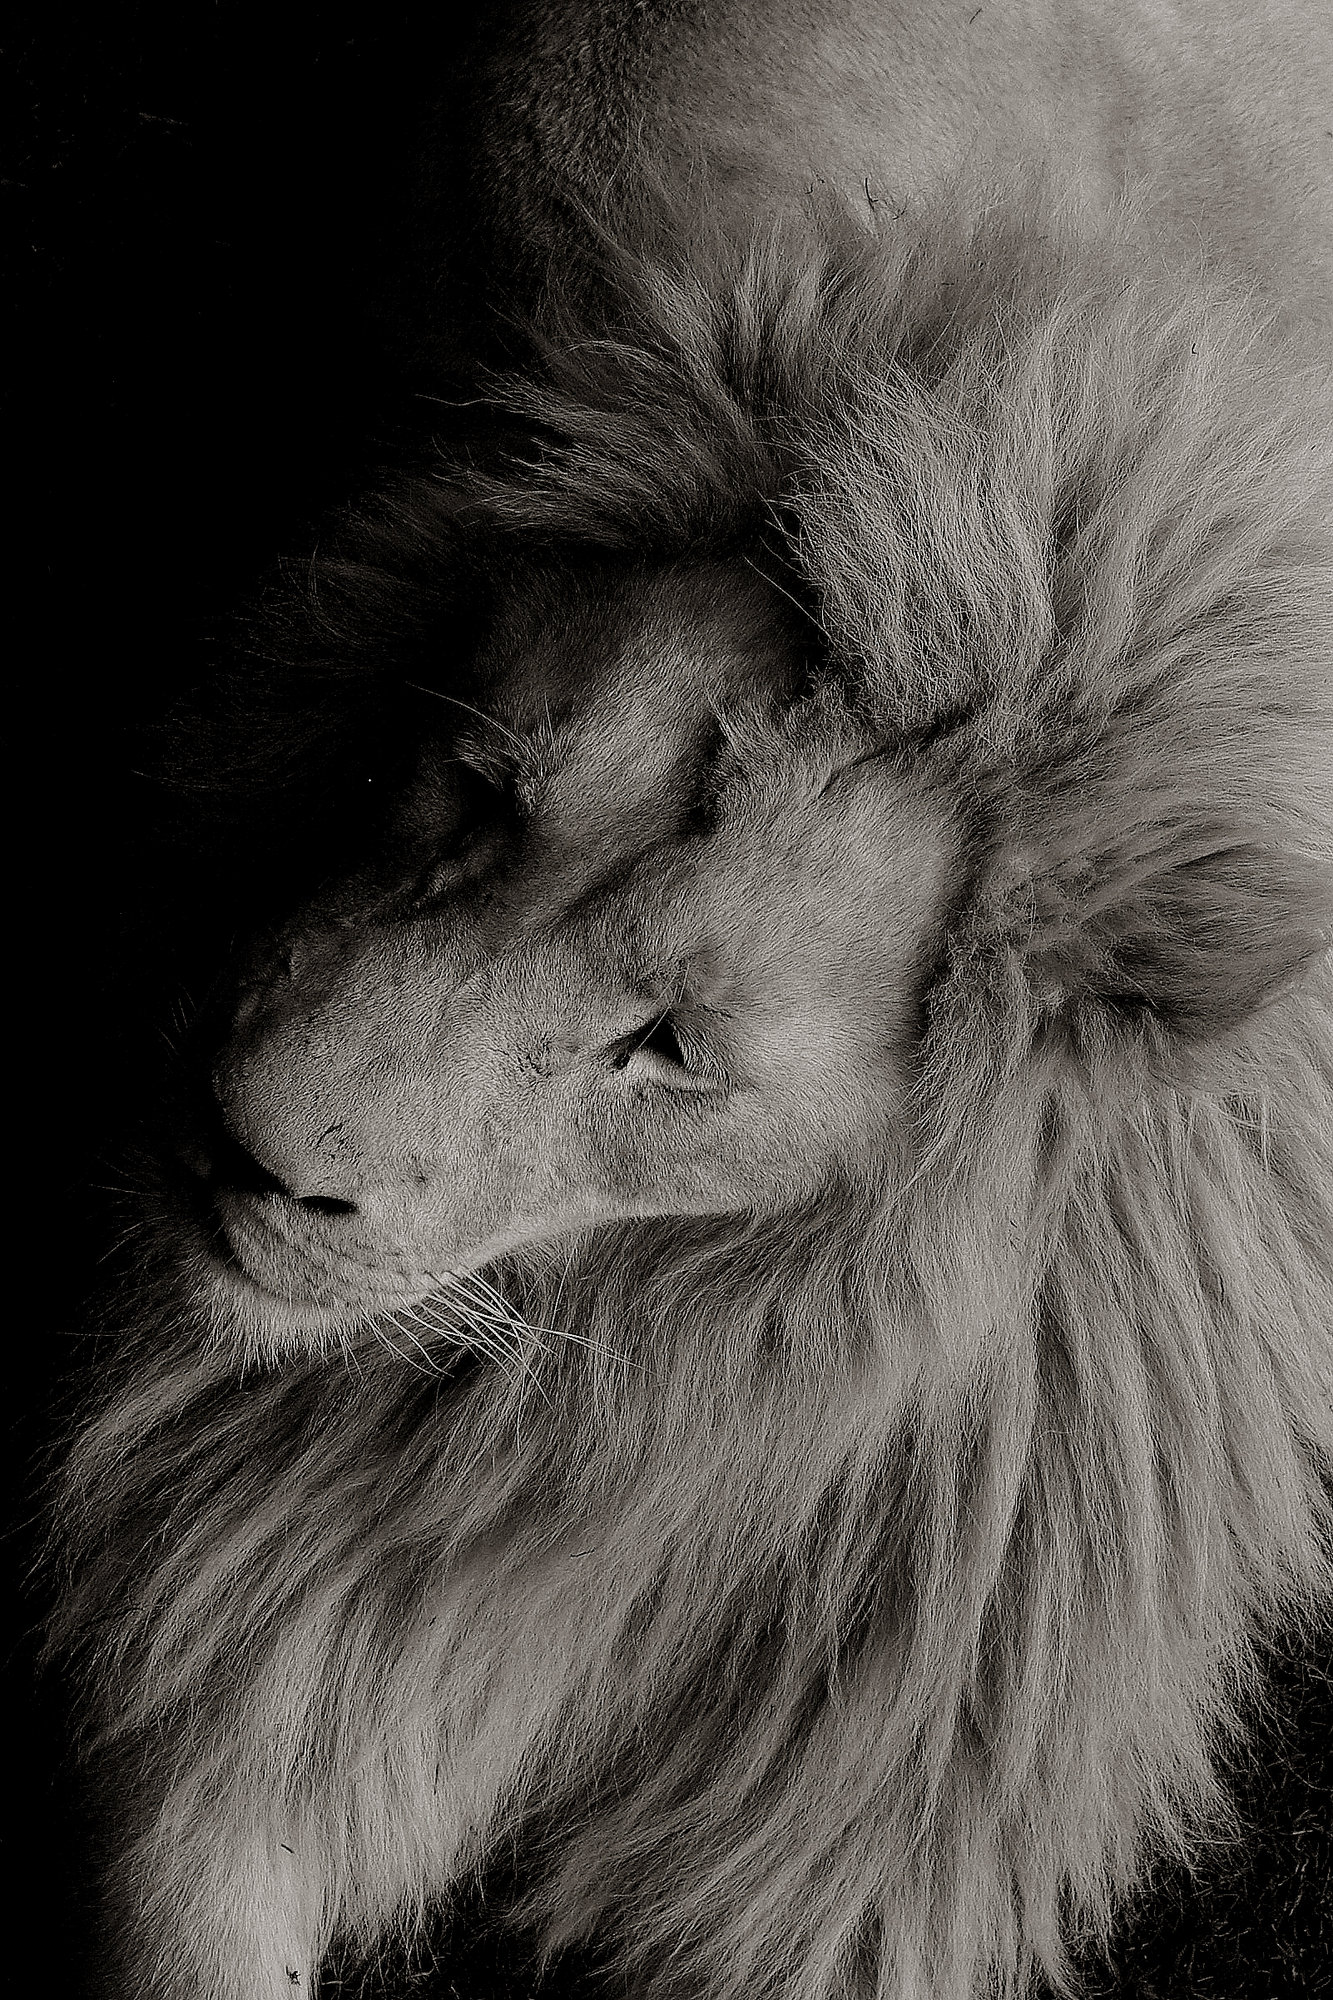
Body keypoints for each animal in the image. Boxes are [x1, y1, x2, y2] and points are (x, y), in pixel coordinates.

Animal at [50, 5, 1333, 1999]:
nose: (235, 1145)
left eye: (671, 1052)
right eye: (480, 797)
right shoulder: (290, 1603)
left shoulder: (895, 1791)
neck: (709, 1355)